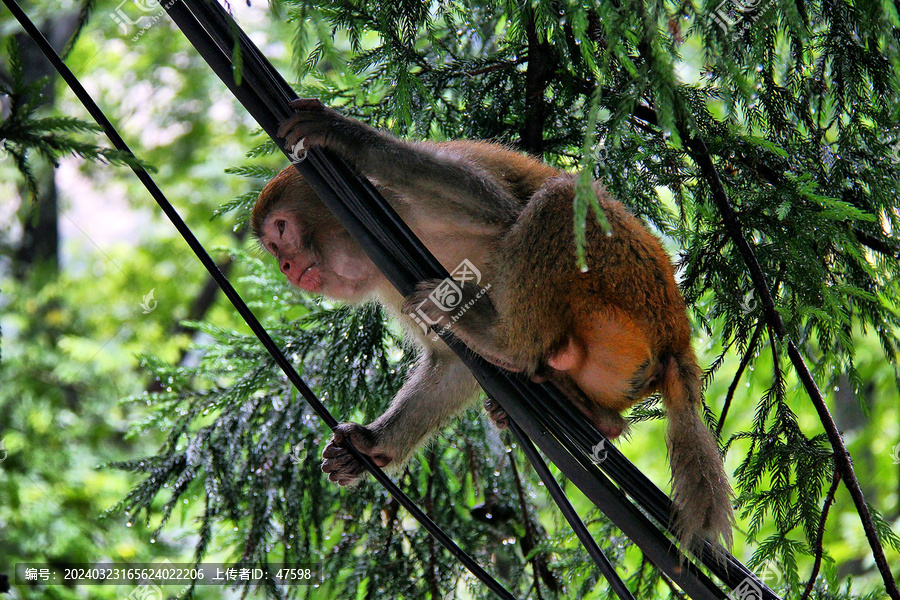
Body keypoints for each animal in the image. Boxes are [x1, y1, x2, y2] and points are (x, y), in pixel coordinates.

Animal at [251, 99, 732, 552]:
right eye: (274, 247)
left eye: (281, 231)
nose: (287, 267)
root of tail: (677, 333)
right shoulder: (387, 276)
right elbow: (453, 365)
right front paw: (372, 444)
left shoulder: (394, 200)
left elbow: (496, 211)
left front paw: (346, 135)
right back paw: (591, 414)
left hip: (627, 277)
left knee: (559, 199)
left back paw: (508, 345)